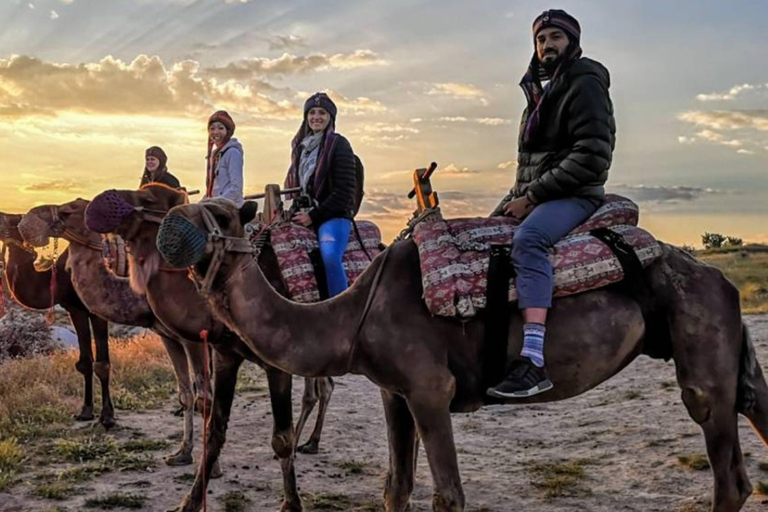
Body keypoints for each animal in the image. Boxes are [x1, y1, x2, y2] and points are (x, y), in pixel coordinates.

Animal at [0, 210, 112, 426]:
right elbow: (85, 362)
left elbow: (102, 364)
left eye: (11, 219)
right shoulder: (75, 309)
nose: (1, 214)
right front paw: (85, 411)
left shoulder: (98, 311)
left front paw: (108, 416)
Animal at [18, 200, 216, 472]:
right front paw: (182, 453)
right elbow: (186, 393)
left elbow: (203, 396)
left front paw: (210, 468)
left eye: (68, 210)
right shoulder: (170, 337)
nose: (26, 220)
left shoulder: (194, 339)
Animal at [85, 185, 336, 512]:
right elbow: (215, 428)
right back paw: (309, 442)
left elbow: (280, 436)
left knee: (322, 391)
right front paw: (189, 500)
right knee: (321, 388)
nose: (104, 200)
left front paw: (292, 503)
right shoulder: (223, 354)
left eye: (150, 198)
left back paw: (310, 443)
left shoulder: (271, 363)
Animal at [153, 197, 768, 512]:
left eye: (223, 216)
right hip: (719, 339)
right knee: (753, 408)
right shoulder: (394, 391)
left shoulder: (430, 391)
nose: (170, 226)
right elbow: (395, 489)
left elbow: (447, 496)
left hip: (700, 338)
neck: (350, 317)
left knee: (724, 461)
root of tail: (716, 277)